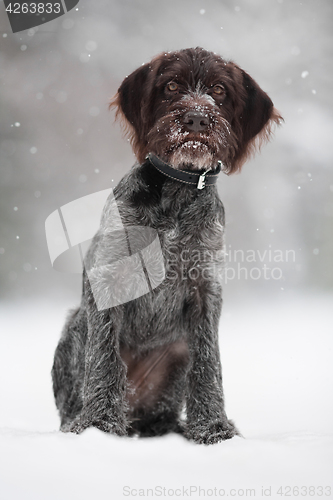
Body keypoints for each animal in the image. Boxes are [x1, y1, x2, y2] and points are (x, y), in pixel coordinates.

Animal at [51, 47, 280, 446]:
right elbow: (104, 358)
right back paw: (80, 423)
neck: (178, 190)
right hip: (74, 326)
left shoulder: (205, 289)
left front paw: (212, 428)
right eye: (172, 85)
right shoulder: (106, 282)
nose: (196, 118)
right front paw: (100, 426)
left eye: (219, 90)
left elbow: (209, 363)